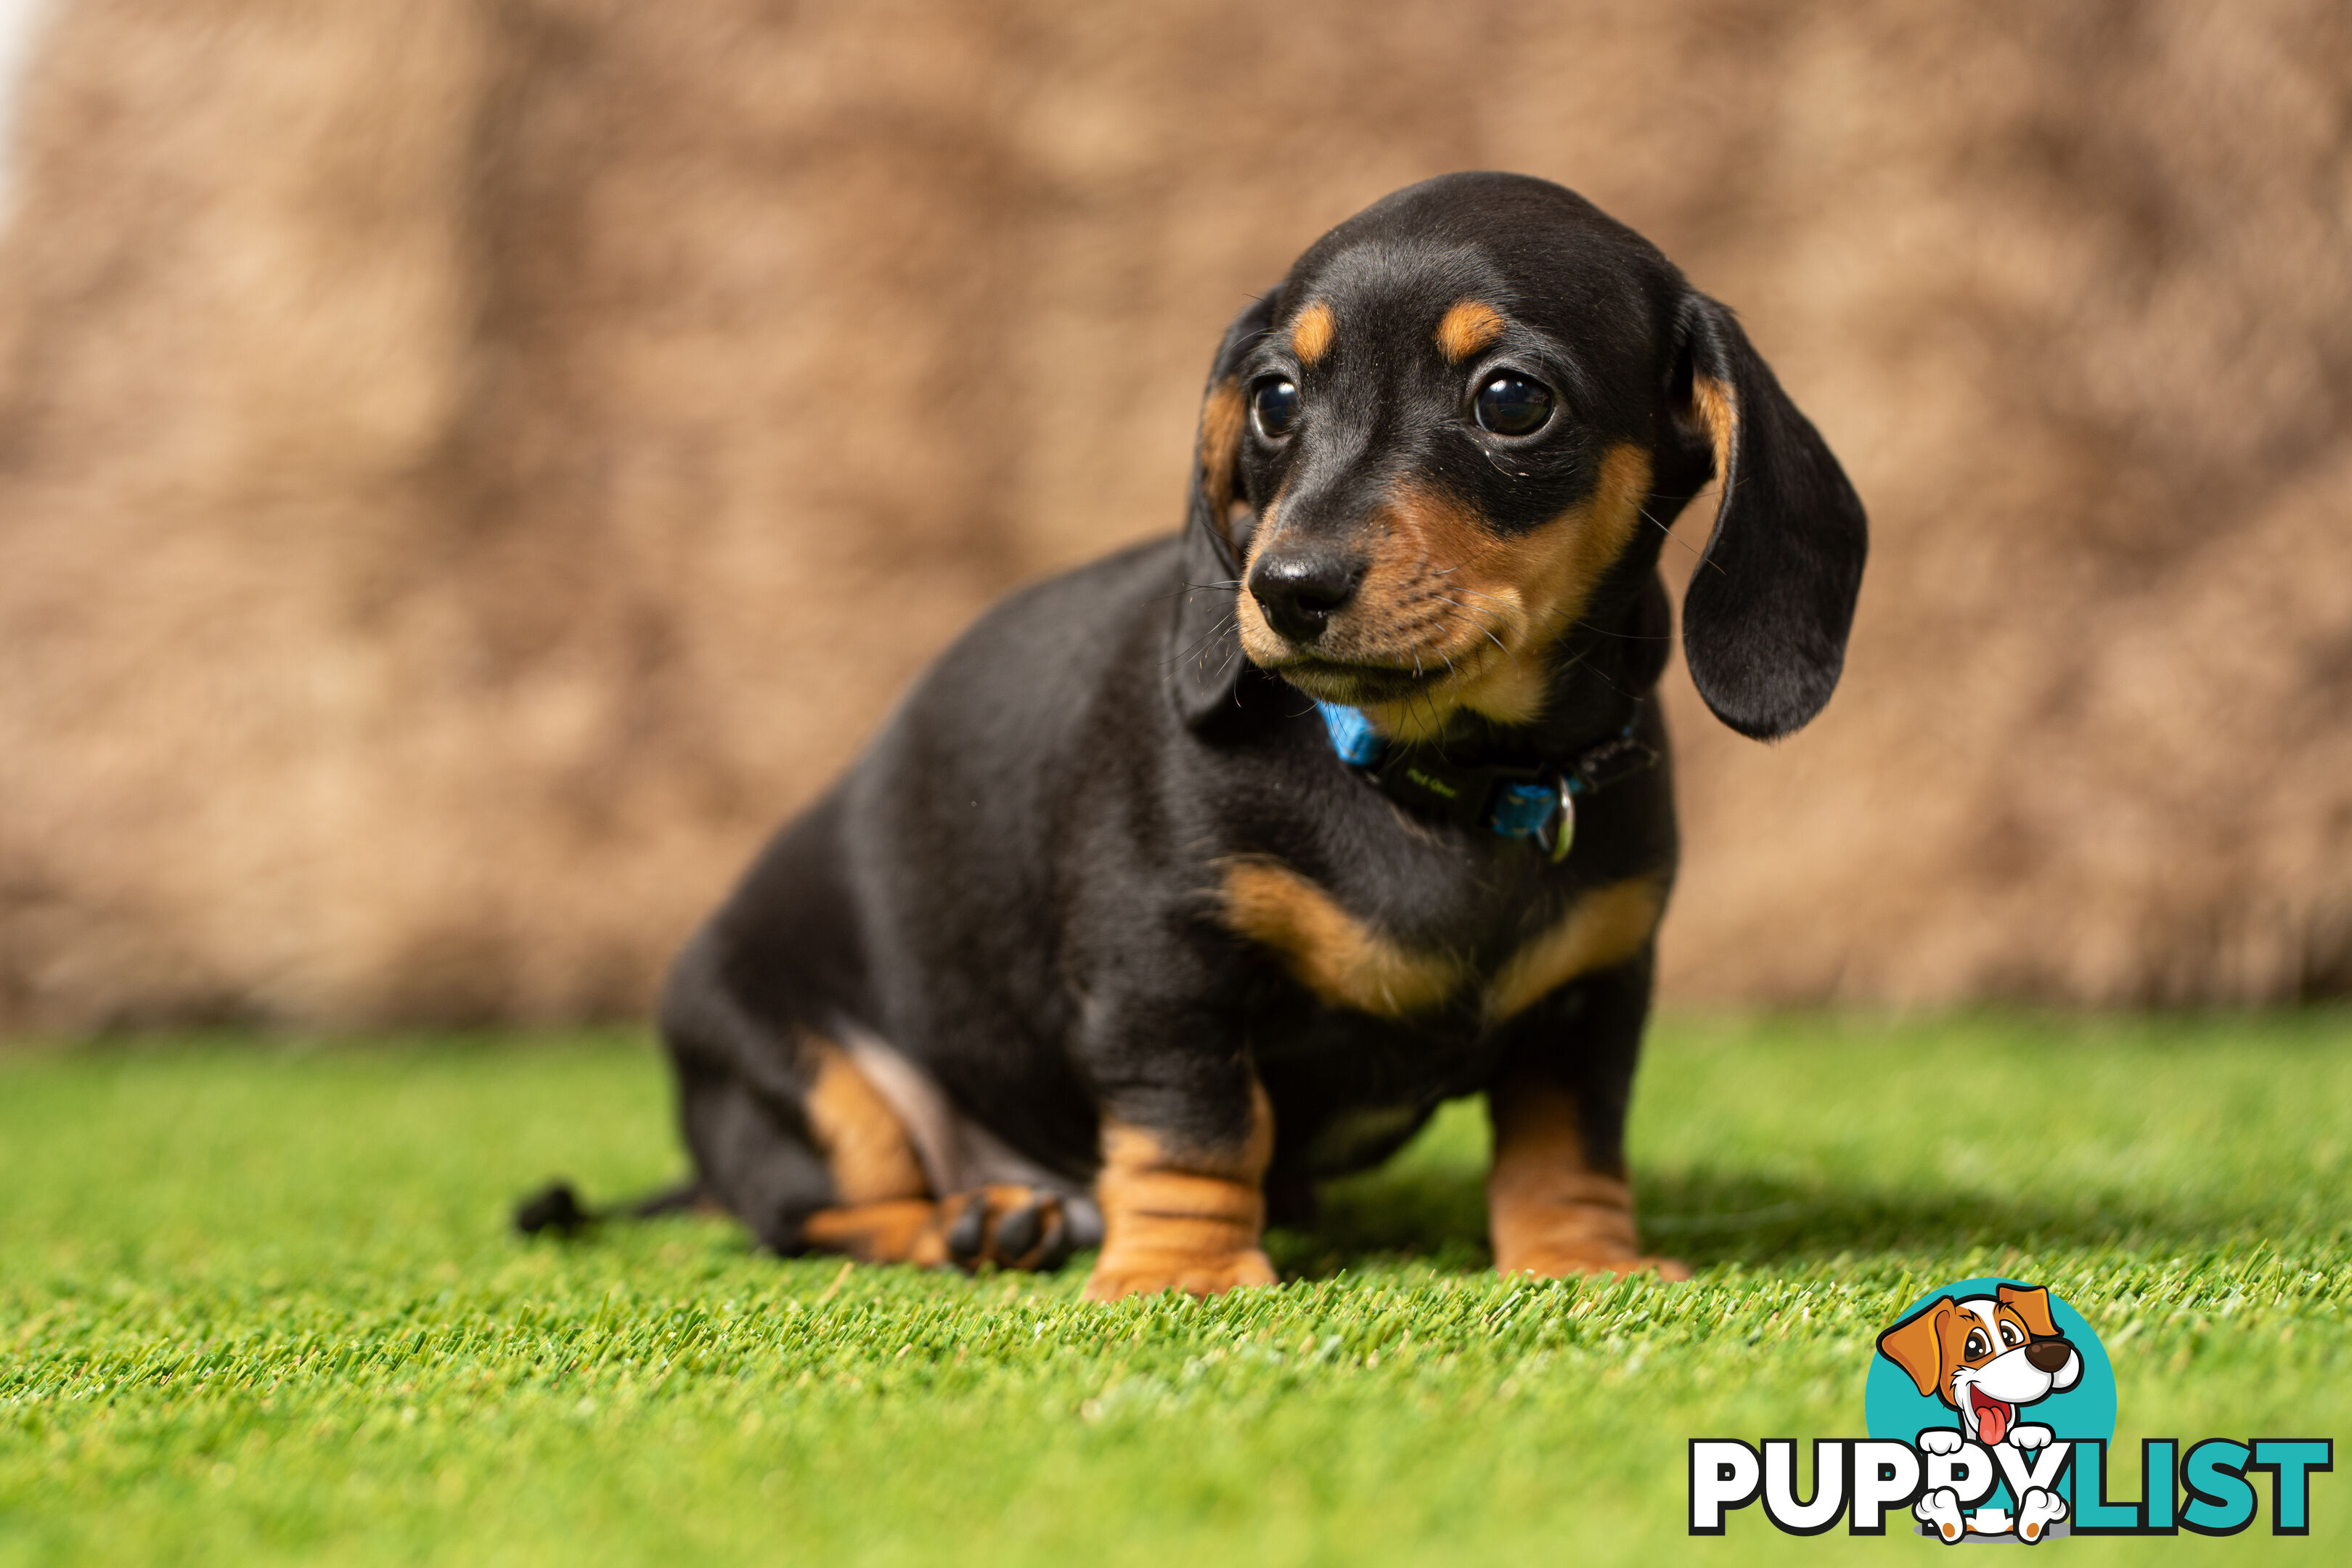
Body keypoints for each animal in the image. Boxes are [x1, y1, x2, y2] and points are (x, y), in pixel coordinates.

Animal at [524, 171, 1863, 1297]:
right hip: (795, 1073)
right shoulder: (1160, 966)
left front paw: (1583, 1263)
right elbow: (1196, 1125)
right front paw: (1186, 1276)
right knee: (812, 1213)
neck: (1427, 776)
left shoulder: (1593, 991)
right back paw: (979, 1221)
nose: (1288, 588)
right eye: (1274, 399)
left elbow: (1565, 1141)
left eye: (1512, 401)